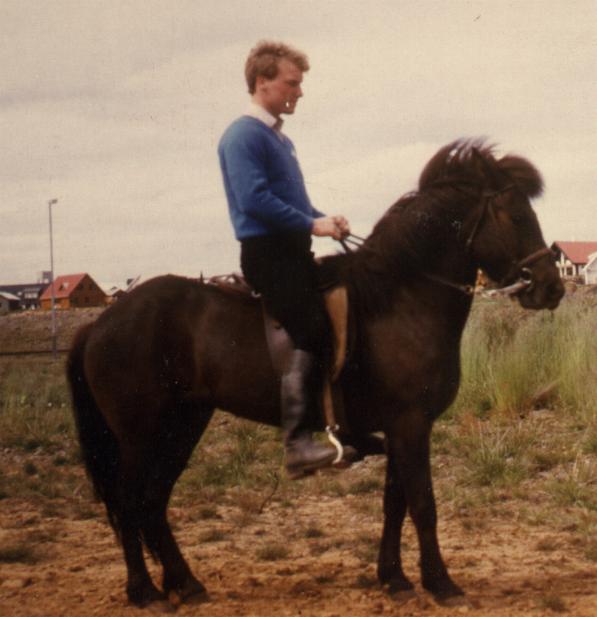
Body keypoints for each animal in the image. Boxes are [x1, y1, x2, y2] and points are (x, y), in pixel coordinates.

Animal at [66, 140, 564, 608]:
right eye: (517, 215)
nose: (552, 288)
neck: (400, 299)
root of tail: (101, 322)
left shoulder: (401, 427)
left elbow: (394, 503)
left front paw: (395, 579)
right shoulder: (410, 424)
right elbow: (423, 504)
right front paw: (441, 583)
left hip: (183, 425)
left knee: (153, 501)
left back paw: (185, 584)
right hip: (140, 435)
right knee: (130, 501)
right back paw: (144, 591)